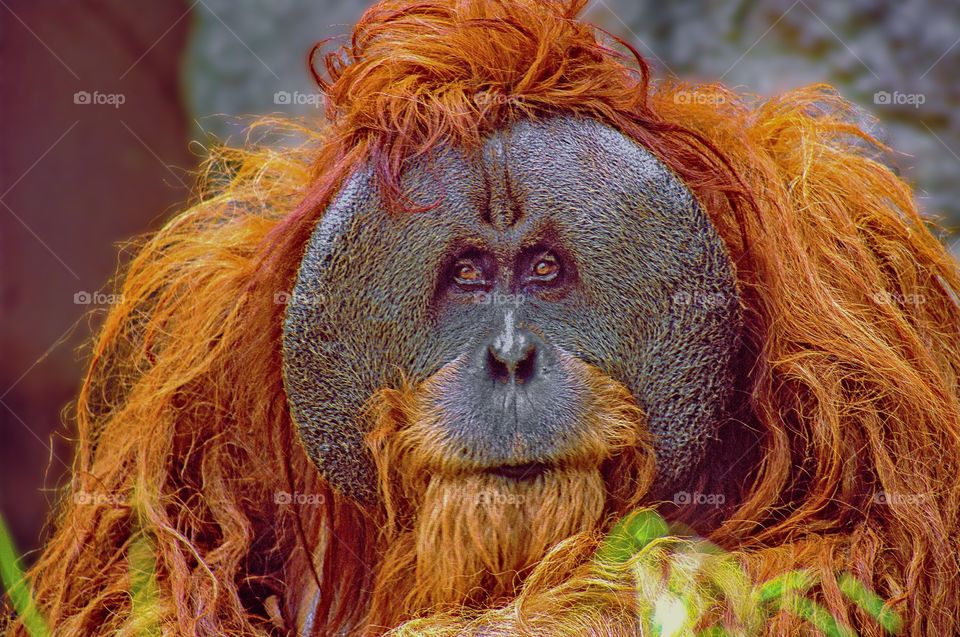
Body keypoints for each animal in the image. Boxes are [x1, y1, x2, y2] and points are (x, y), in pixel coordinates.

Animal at [6, 0, 960, 635]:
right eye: (467, 275)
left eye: (542, 269)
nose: (508, 357)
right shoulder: (203, 341)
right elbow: (152, 589)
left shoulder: (844, 266)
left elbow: (871, 559)